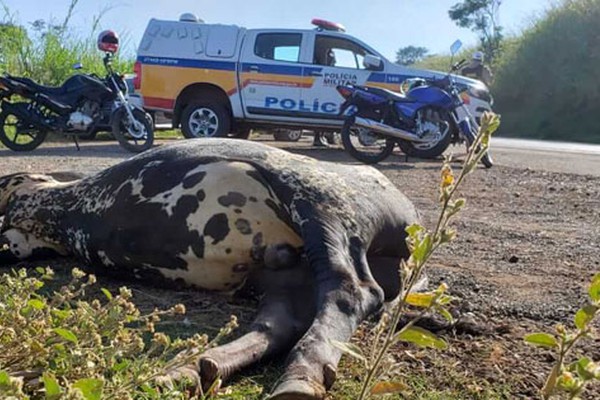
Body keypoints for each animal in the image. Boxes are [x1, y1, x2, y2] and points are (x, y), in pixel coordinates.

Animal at [0, 139, 420, 398]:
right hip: (286, 273)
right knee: (278, 322)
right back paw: (188, 372)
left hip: (320, 203)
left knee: (352, 289)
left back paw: (303, 375)